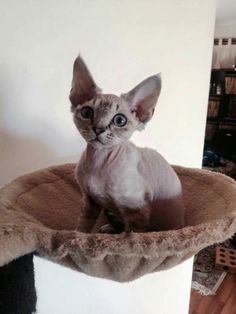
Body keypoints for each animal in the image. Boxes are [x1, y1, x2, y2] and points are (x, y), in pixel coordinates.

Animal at [69, 55, 185, 233]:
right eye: (87, 112)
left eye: (119, 120)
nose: (98, 129)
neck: (98, 162)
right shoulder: (89, 201)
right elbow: (83, 226)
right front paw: (77, 237)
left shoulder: (136, 209)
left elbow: (131, 236)